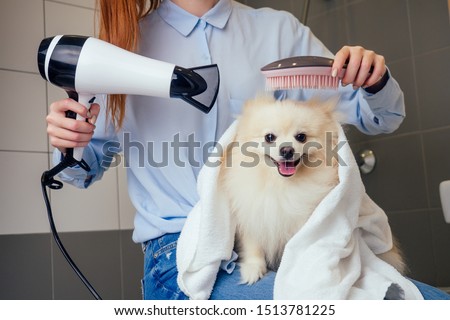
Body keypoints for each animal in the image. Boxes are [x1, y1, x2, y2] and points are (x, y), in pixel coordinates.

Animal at [218, 96, 404, 284]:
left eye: (301, 137)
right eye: (269, 137)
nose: (287, 150)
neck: (280, 184)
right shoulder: (252, 214)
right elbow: (253, 245)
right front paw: (253, 269)